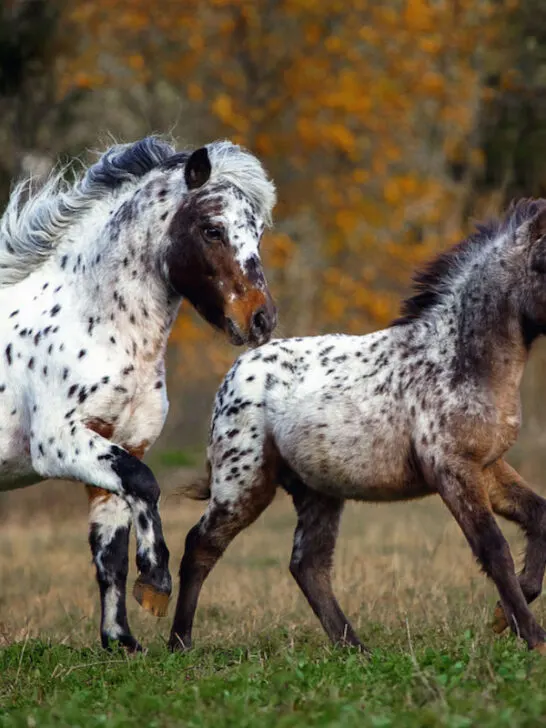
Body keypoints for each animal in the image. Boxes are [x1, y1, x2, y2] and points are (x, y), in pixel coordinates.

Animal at [0, 136, 277, 651]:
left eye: (258, 233)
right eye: (211, 229)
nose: (261, 320)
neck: (91, 321)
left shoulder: (120, 443)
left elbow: (109, 549)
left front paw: (121, 641)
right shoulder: (60, 443)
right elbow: (146, 484)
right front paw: (156, 583)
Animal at [170, 199, 546, 654]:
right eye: (545, 263)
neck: (457, 360)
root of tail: (235, 373)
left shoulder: (488, 465)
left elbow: (539, 517)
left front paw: (504, 617)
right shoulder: (453, 470)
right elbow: (494, 549)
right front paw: (532, 635)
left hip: (317, 491)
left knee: (308, 565)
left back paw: (355, 649)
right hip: (242, 483)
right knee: (201, 546)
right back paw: (179, 643)